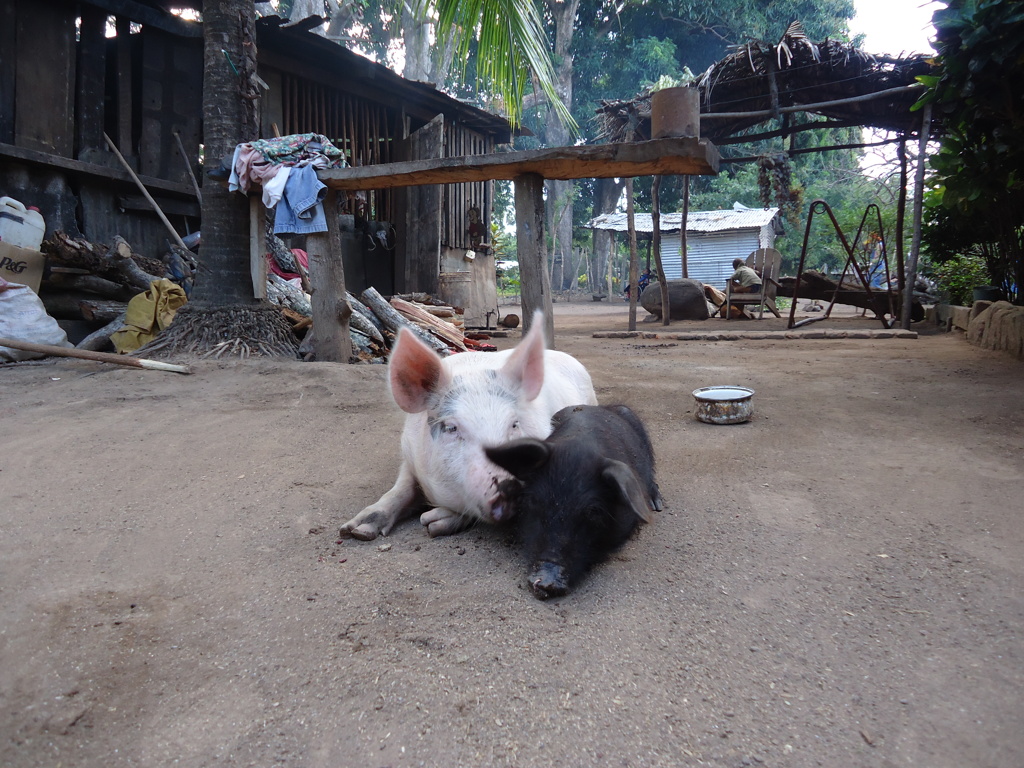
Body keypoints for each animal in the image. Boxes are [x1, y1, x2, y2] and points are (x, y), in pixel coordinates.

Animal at [339, 313, 598, 540]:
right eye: (451, 428)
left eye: (514, 424)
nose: (509, 486)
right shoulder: (409, 453)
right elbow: (401, 489)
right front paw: (355, 531)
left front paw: (432, 523)